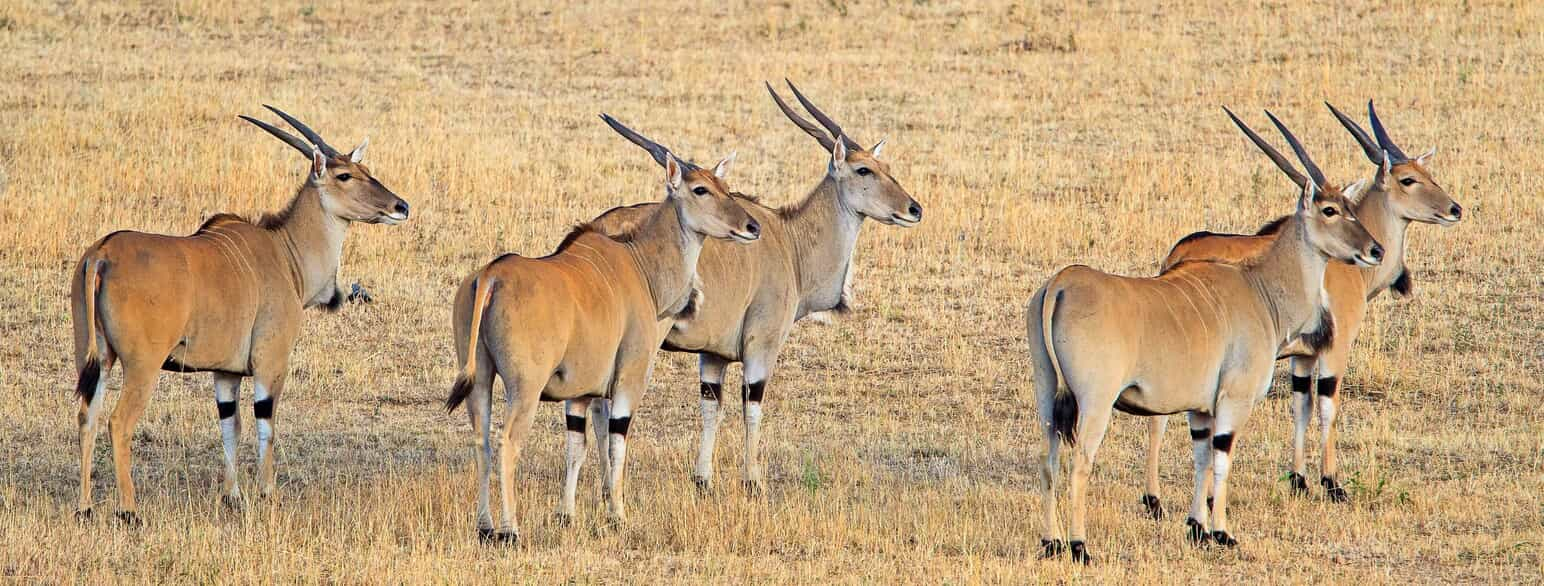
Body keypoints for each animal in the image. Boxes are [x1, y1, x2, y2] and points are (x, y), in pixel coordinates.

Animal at [71, 105, 410, 521]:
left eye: (364, 169)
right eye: (345, 175)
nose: (400, 207)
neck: (284, 252)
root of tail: (101, 254)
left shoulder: (226, 374)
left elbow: (229, 427)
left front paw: (232, 495)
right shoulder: (270, 363)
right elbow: (266, 424)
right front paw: (267, 493)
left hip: (98, 359)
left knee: (87, 417)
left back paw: (85, 507)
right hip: (142, 365)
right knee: (118, 423)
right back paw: (130, 511)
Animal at [441, 115, 759, 545]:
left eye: (725, 187)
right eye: (700, 189)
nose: (752, 226)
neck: (640, 266)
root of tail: (491, 274)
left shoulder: (581, 393)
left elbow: (579, 447)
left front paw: (568, 515)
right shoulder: (628, 380)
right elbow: (616, 443)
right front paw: (617, 515)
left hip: (481, 381)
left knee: (482, 441)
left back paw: (485, 526)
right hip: (524, 387)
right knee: (508, 443)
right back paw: (511, 530)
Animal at [583, 81, 920, 493]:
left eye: (886, 168)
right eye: (864, 169)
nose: (914, 209)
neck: (789, 241)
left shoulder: (713, 355)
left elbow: (711, 408)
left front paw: (704, 479)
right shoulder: (761, 344)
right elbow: (752, 406)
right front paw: (753, 481)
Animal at [1031, 109, 1383, 564]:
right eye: (1329, 209)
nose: (1375, 250)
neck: (1260, 288)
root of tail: (1061, 283)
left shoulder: (1200, 410)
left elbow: (1200, 460)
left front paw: (1196, 528)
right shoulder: (1233, 400)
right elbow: (1222, 459)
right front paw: (1222, 532)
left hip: (1047, 398)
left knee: (1049, 461)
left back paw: (1051, 541)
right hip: (1096, 402)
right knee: (1079, 463)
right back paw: (1078, 545)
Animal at [1142, 101, 1463, 518]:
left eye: (1428, 174)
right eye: (1408, 179)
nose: (1454, 209)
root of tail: (1177, 257)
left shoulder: (1302, 357)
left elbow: (1302, 406)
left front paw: (1299, 480)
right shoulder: (1334, 351)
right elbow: (1327, 406)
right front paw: (1332, 483)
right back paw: (1154, 501)